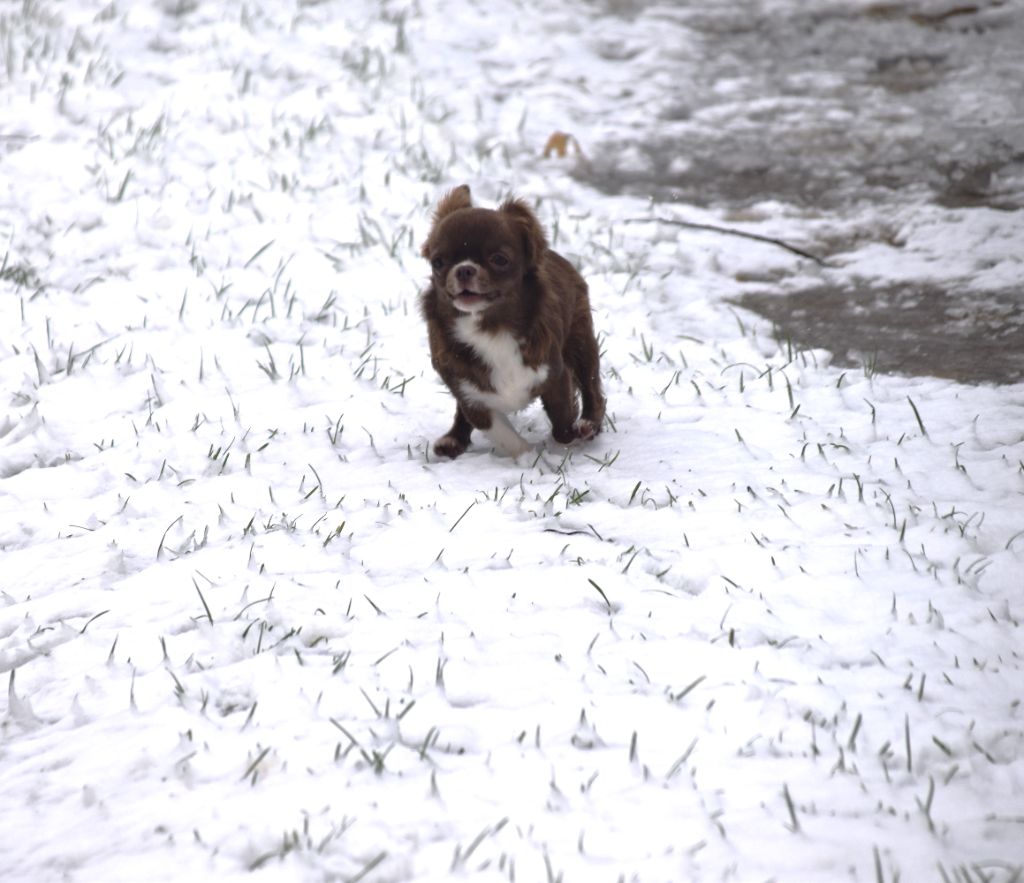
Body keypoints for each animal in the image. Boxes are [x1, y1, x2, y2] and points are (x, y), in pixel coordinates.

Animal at [419, 187, 602, 463]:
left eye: (499, 259)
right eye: (438, 262)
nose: (464, 269)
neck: (491, 327)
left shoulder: (555, 375)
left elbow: (562, 425)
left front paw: (567, 442)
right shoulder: (471, 395)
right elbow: (503, 435)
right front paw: (530, 459)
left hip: (581, 341)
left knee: (591, 385)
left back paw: (590, 424)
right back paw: (453, 440)